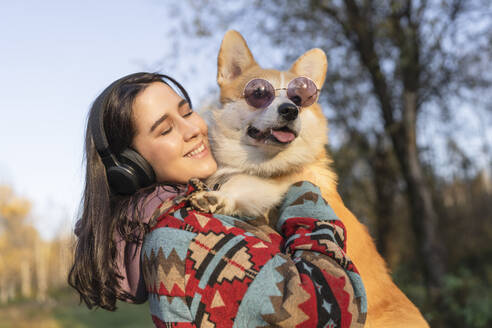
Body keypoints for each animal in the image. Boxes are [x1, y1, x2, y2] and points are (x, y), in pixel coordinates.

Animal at [190, 29, 428, 326]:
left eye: (299, 99)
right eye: (259, 93)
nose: (290, 110)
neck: (263, 160)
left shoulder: (285, 182)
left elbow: (246, 184)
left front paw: (216, 196)